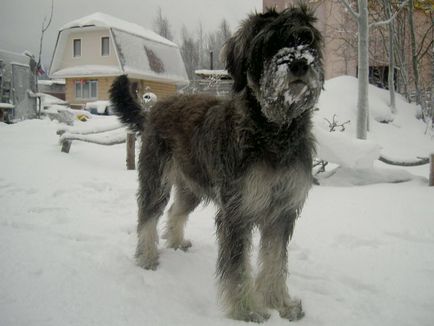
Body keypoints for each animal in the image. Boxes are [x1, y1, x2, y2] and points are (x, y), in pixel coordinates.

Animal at [110, 4, 324, 320]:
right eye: (269, 43)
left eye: (305, 39)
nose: (299, 63)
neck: (273, 131)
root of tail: (154, 108)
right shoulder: (238, 212)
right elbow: (237, 268)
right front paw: (247, 310)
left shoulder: (282, 213)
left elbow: (275, 261)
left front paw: (281, 303)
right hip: (156, 180)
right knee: (147, 216)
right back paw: (147, 257)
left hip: (192, 188)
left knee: (175, 212)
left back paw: (176, 242)